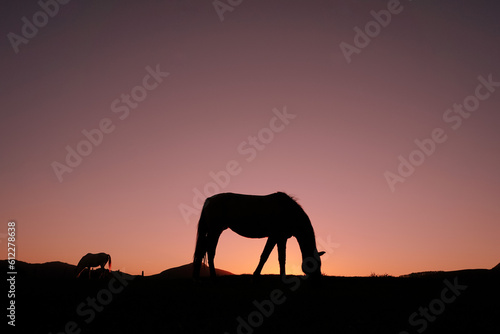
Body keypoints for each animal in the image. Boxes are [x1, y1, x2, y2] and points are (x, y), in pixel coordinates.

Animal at [191, 192, 324, 280]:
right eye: (315, 263)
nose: (318, 278)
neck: (289, 211)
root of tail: (209, 199)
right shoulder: (275, 236)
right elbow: (267, 256)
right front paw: (258, 274)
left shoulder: (280, 238)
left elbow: (278, 257)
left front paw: (281, 276)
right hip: (215, 230)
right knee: (210, 251)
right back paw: (213, 276)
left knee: (203, 250)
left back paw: (197, 275)